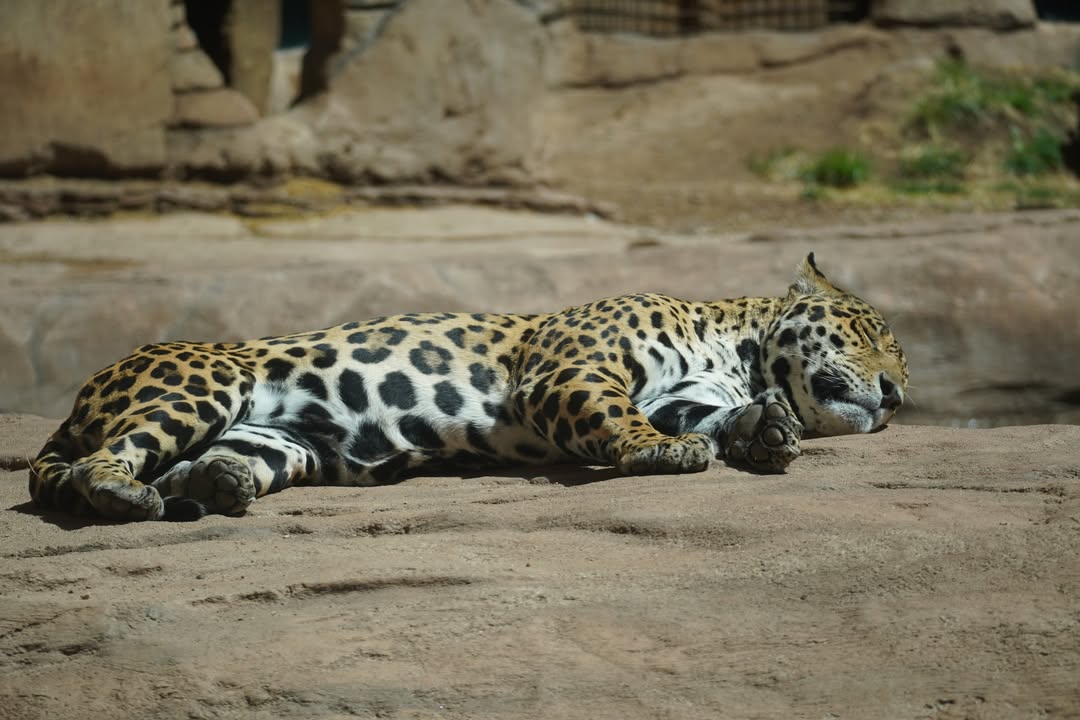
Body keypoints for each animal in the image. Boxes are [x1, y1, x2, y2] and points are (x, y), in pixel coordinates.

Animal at [29, 253, 907, 523]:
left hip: (282, 437)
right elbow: (624, 419)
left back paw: (220, 482)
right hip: (204, 383)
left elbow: (712, 416)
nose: (897, 397)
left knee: (198, 463)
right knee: (102, 463)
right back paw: (126, 497)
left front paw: (765, 432)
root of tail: (78, 399)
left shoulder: (681, 392)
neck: (734, 350)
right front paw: (665, 453)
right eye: (870, 334)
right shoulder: (571, 368)